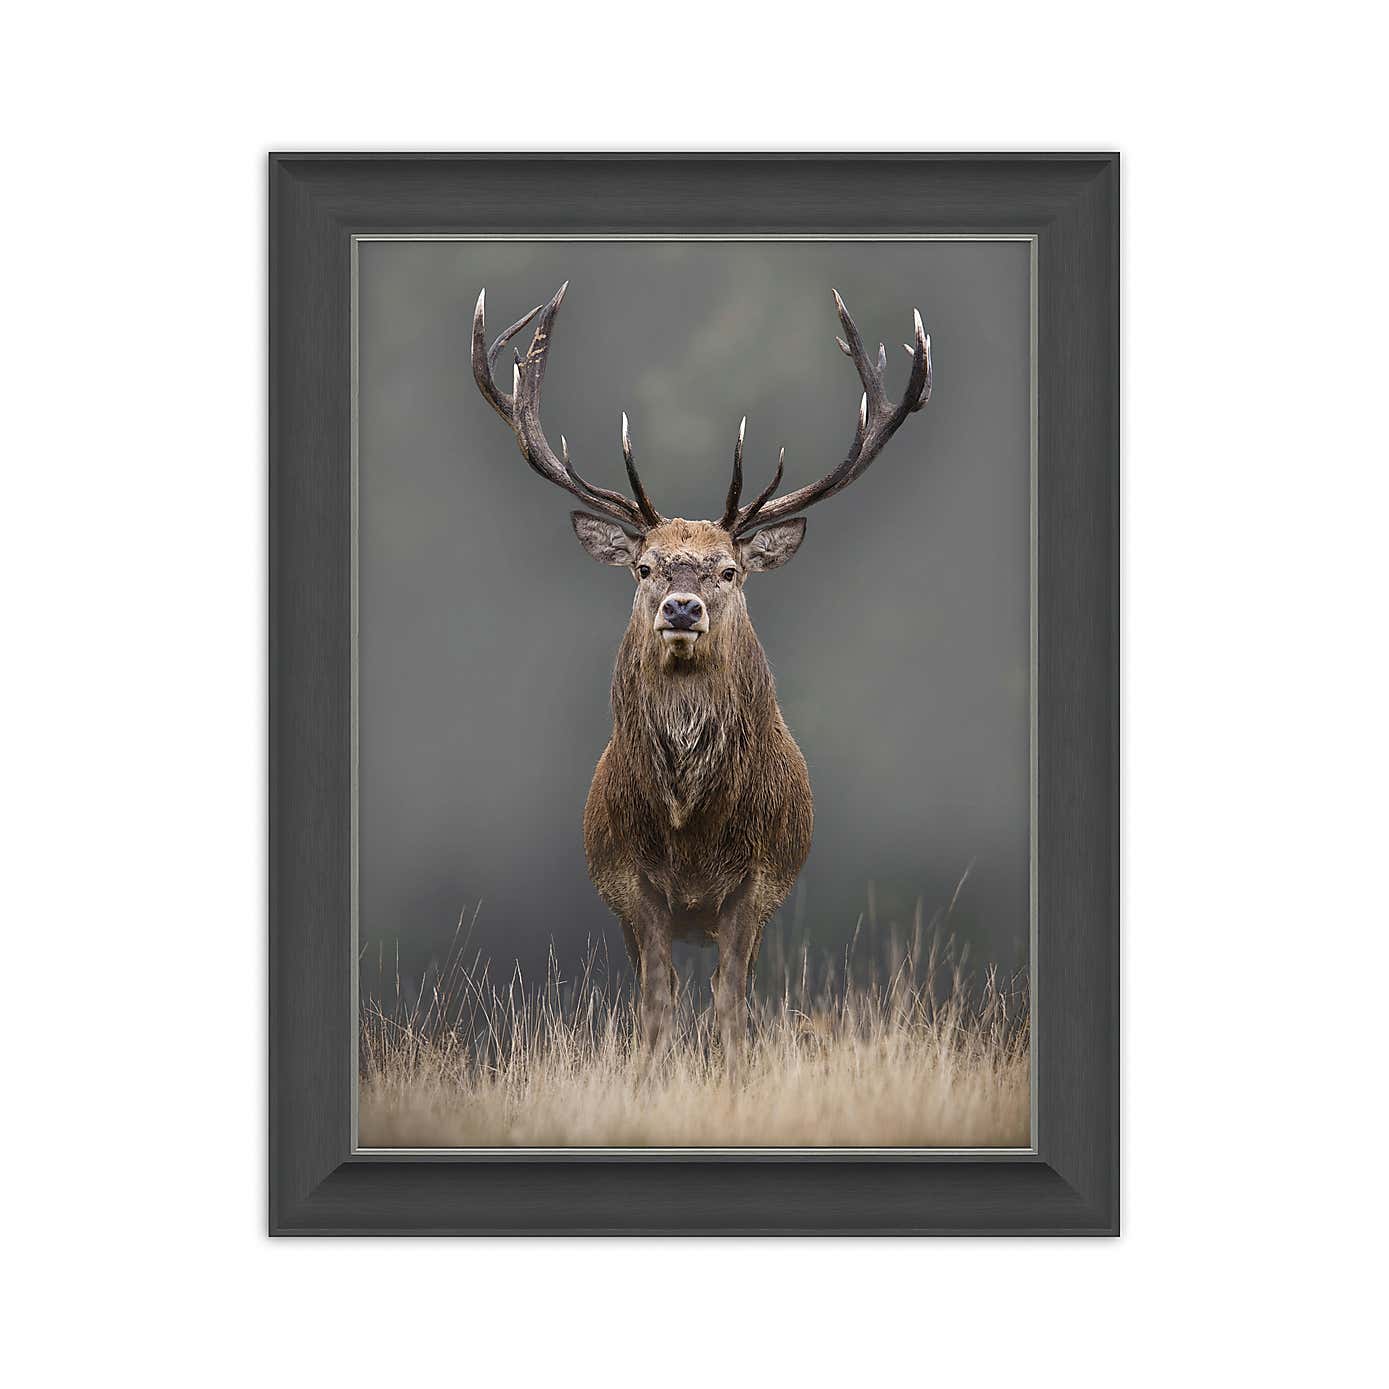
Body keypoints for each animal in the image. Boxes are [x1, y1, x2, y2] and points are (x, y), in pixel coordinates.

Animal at [470, 281, 933, 1077]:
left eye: (729, 570)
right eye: (643, 567)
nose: (681, 607)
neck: (690, 829)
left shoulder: (761, 881)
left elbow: (729, 1004)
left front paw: (732, 1072)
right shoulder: (628, 882)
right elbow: (656, 1004)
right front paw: (651, 1074)